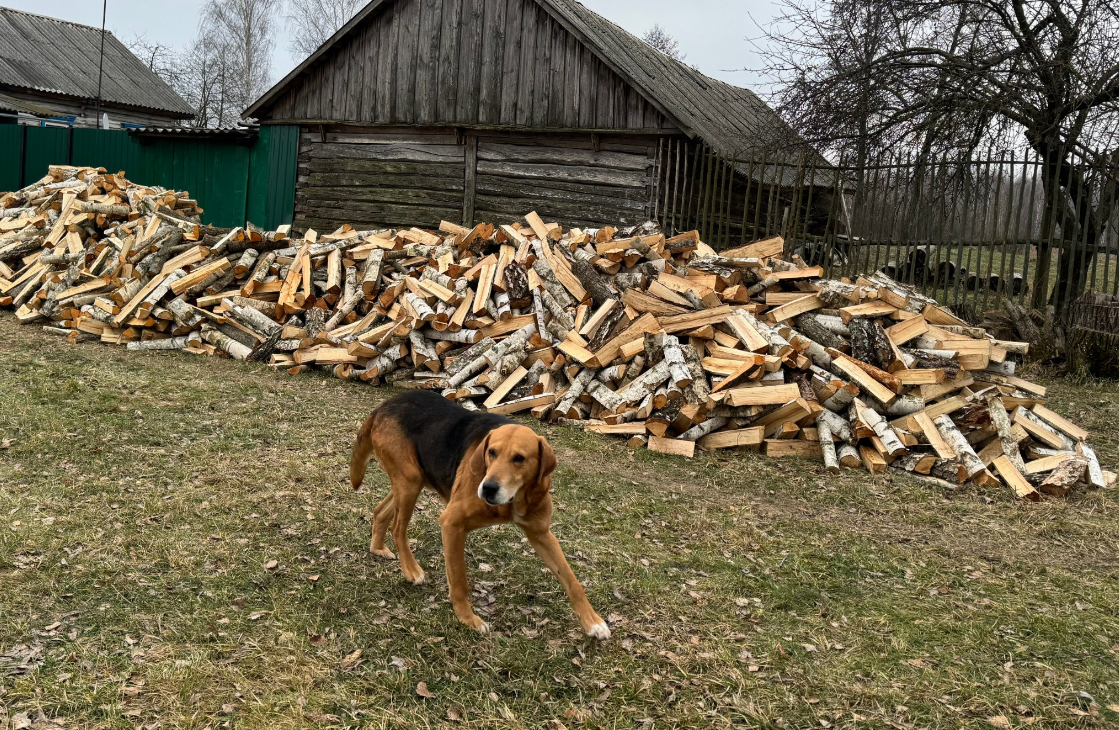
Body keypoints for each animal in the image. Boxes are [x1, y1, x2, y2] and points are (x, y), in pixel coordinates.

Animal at [351, 387, 608, 640]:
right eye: (491, 453)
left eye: (519, 458)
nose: (488, 488)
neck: (514, 500)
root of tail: (383, 407)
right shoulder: (452, 524)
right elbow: (459, 581)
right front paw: (468, 619)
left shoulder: (541, 534)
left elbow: (571, 580)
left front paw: (593, 622)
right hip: (410, 482)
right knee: (398, 528)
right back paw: (411, 570)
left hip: (413, 481)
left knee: (380, 511)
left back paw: (377, 548)